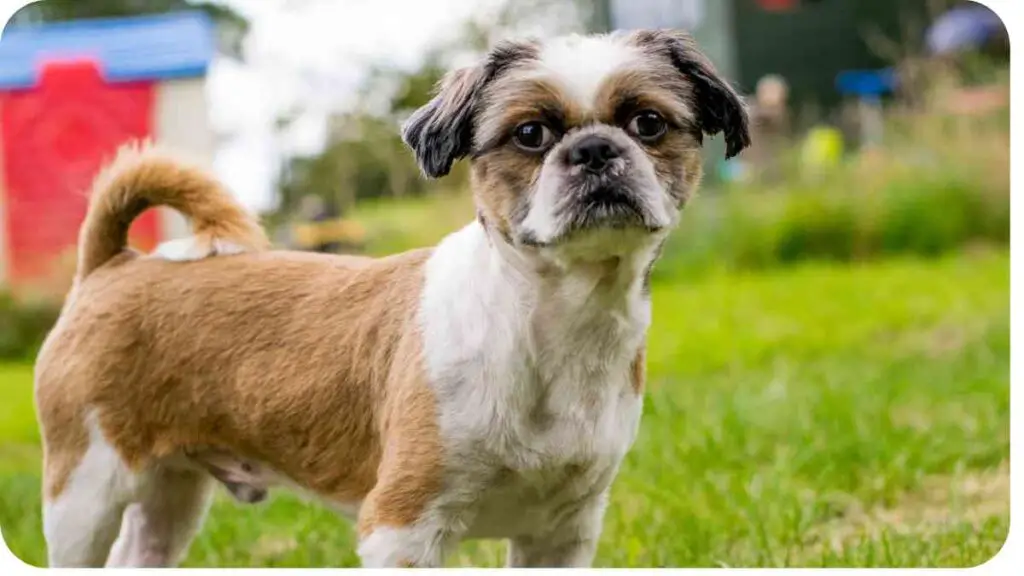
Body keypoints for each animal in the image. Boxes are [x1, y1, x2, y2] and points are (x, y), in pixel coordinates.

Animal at [36, 29, 749, 565]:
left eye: (648, 123)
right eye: (530, 135)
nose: (597, 149)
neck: (548, 326)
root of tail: (112, 265)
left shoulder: (562, 533)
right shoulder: (403, 526)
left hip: (169, 494)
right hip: (84, 491)